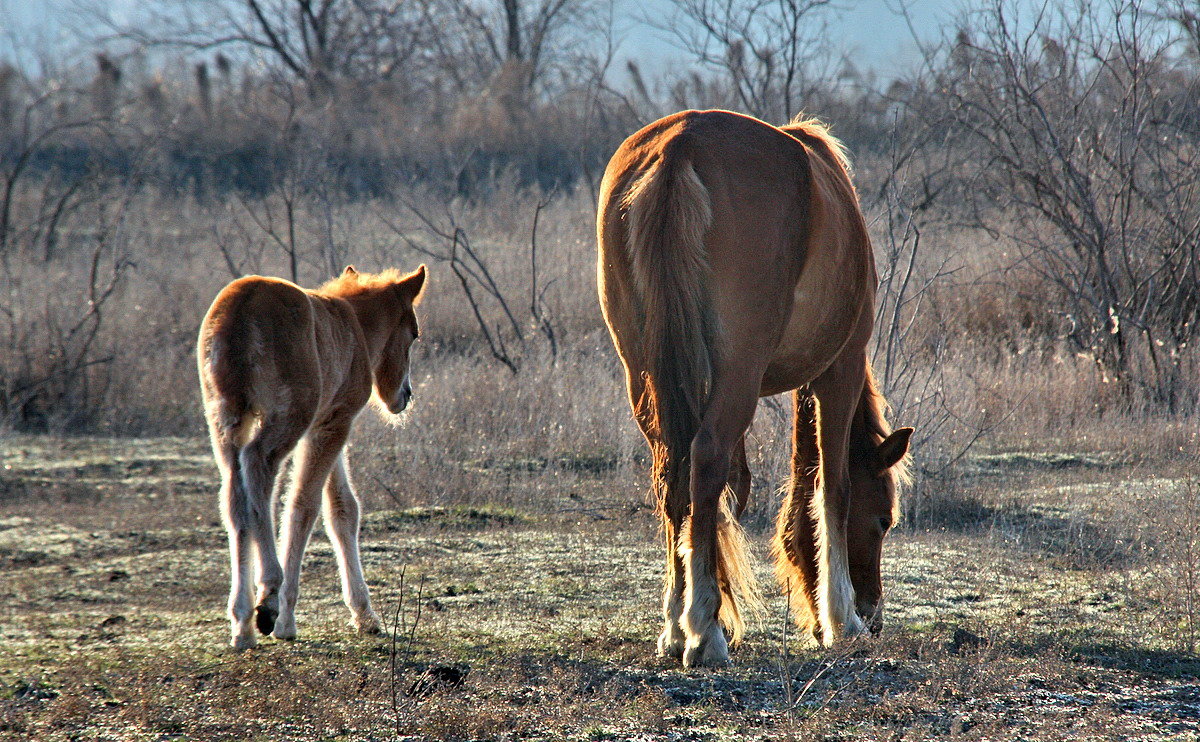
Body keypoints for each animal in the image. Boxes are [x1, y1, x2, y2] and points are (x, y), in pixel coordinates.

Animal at [194, 264, 424, 648]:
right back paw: (268, 596)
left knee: (234, 498)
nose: (404, 396)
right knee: (257, 468)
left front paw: (365, 615)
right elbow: (304, 504)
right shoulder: (333, 423)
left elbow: (342, 508)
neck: (355, 328)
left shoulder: (325, 424)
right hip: (287, 415)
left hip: (224, 419)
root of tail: (238, 312)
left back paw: (241, 623)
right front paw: (287, 619)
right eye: (414, 333)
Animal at [595, 108, 912, 662]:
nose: (873, 615)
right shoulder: (839, 368)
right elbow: (833, 485)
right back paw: (704, 630)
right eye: (884, 520)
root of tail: (679, 146)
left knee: (671, 471)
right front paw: (841, 619)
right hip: (740, 374)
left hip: (644, 373)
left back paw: (676, 626)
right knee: (704, 458)